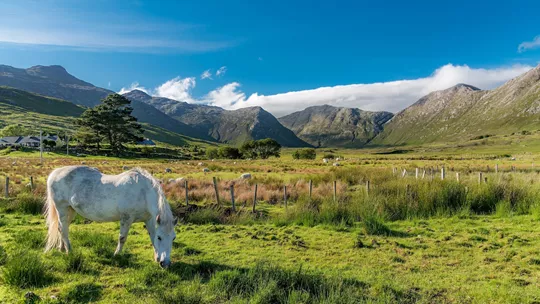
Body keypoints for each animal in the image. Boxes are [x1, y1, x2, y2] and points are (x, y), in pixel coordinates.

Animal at [44, 166, 177, 268]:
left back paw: (62, 248)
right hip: (62, 209)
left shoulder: (149, 219)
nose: (165, 263)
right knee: (63, 229)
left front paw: (156, 257)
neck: (143, 192)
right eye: (160, 237)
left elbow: (151, 237)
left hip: (70, 210)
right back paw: (69, 251)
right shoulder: (126, 218)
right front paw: (116, 255)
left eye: (173, 238)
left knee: (62, 228)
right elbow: (122, 238)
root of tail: (55, 172)